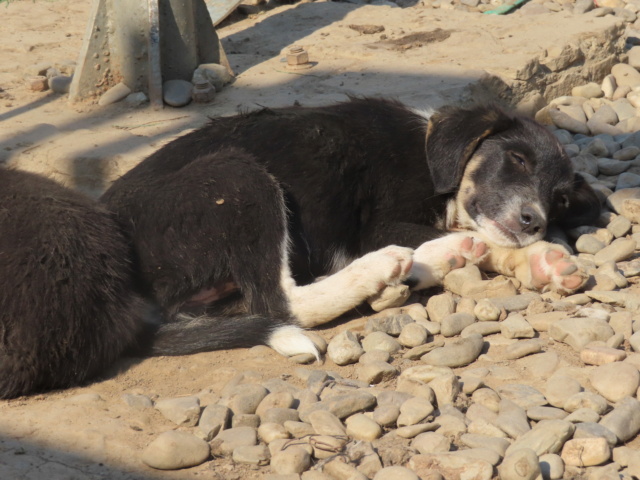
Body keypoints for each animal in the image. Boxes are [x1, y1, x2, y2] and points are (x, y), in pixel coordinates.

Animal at [0, 97, 600, 398]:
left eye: (559, 197)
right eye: (516, 159)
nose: (534, 221)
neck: (428, 148)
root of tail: (126, 297)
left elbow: (486, 235)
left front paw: (544, 260)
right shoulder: (377, 223)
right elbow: (478, 234)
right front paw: (527, 255)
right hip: (237, 176)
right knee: (282, 301)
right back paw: (389, 268)